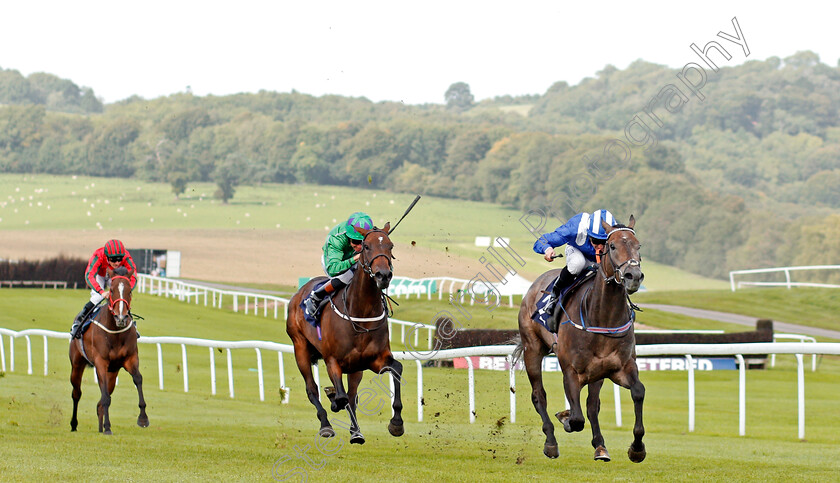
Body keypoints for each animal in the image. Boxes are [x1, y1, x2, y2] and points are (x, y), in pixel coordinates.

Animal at [69, 266, 148, 436]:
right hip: (77, 364)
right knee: (77, 393)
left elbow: (138, 379)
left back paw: (100, 426)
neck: (115, 332)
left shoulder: (130, 358)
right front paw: (107, 427)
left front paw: (143, 418)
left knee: (102, 398)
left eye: (129, 291)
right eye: (111, 290)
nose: (121, 317)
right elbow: (104, 396)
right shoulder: (100, 362)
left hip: (113, 372)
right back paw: (74, 424)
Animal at [288, 223, 406, 446]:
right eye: (366, 246)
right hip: (300, 348)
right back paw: (326, 425)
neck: (361, 312)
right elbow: (340, 397)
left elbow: (396, 369)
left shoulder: (374, 360)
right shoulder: (332, 360)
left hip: (355, 367)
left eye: (390, 246)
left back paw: (356, 432)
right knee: (312, 389)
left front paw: (396, 423)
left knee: (351, 395)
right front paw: (333, 399)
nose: (383, 275)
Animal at [516, 215, 648, 462]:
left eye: (638, 246)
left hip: (597, 373)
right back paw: (551, 442)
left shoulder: (621, 367)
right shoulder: (571, 371)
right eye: (612, 246)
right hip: (532, 349)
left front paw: (637, 448)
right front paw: (565, 418)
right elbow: (576, 419)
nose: (633, 277)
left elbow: (637, 392)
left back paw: (600, 446)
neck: (602, 317)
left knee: (592, 405)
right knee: (539, 395)